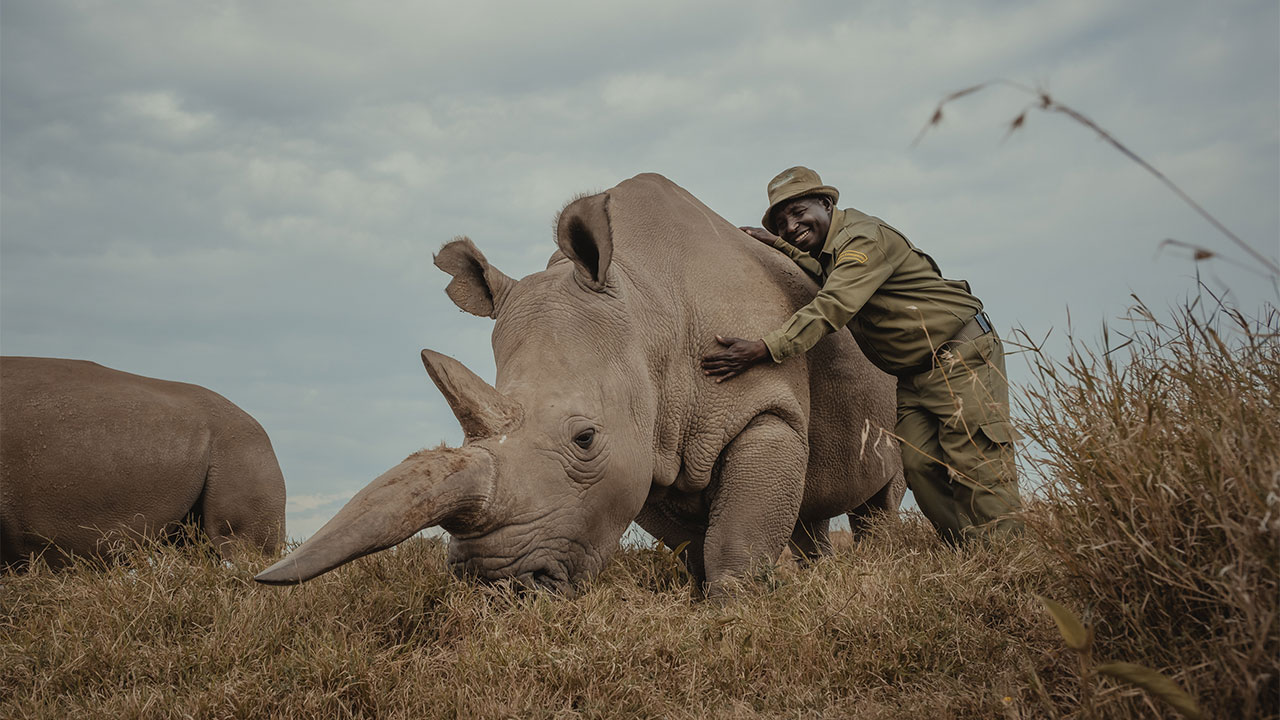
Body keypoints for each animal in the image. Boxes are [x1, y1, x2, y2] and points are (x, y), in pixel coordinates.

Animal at [256, 173, 903, 596]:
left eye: (585, 438)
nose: (500, 587)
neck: (648, 308)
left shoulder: (763, 411)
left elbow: (736, 538)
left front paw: (734, 609)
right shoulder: (649, 445)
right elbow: (694, 540)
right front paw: (706, 600)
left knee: (881, 494)